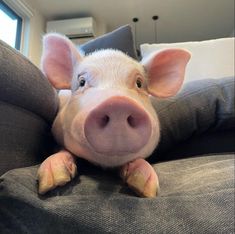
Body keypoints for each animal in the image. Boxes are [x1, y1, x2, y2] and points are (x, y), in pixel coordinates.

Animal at [37, 33, 191, 197]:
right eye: (82, 82)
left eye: (139, 83)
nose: (118, 104)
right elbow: (62, 149)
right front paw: (50, 182)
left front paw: (147, 190)